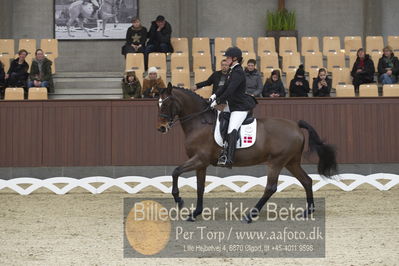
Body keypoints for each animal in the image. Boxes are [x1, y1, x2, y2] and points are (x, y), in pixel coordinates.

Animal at [157, 84, 338, 222]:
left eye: (165, 104)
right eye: (158, 105)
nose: (161, 128)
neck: (199, 123)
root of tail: (296, 125)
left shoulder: (199, 159)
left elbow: (175, 172)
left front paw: (179, 200)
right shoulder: (201, 164)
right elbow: (200, 187)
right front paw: (195, 213)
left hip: (276, 162)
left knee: (271, 188)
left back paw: (250, 215)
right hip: (291, 162)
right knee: (306, 181)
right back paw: (308, 211)